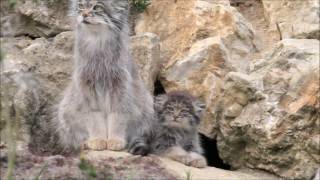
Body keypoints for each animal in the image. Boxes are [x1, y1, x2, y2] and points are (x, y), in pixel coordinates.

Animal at [56, 0, 154, 155]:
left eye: (97, 7)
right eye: (81, 6)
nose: (84, 14)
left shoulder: (120, 88)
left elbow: (117, 117)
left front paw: (115, 140)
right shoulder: (87, 88)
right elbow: (94, 118)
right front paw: (97, 139)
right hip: (64, 110)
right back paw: (84, 143)